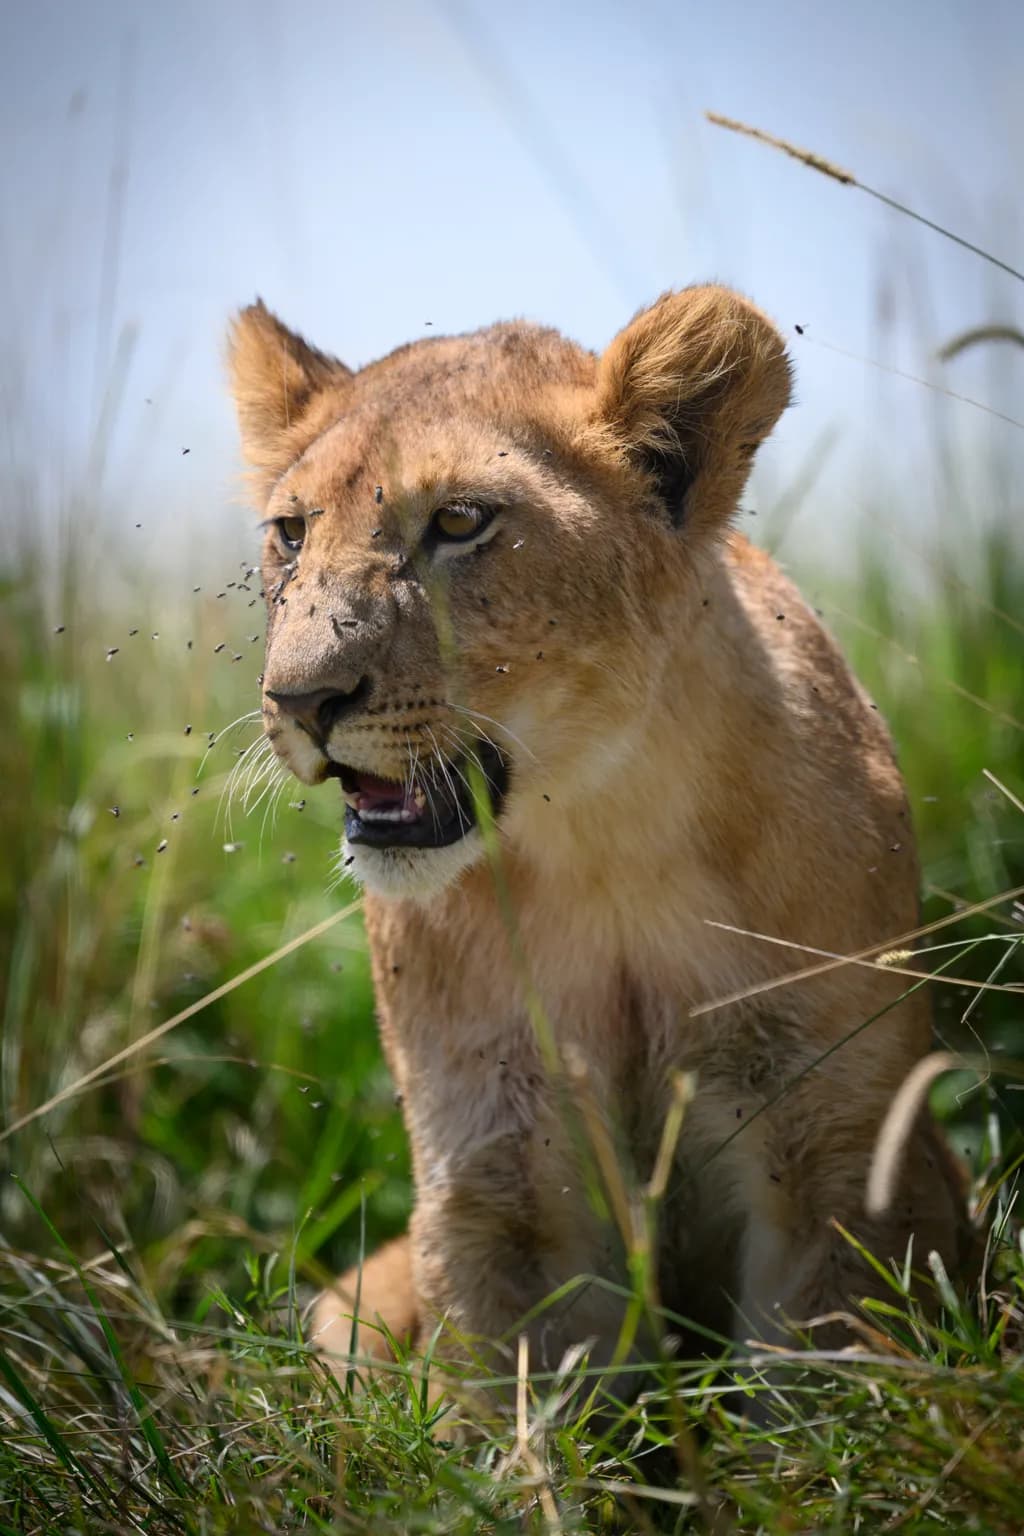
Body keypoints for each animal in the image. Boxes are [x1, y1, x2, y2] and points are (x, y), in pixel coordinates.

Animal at [228, 286, 966, 1417]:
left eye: (459, 522)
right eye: (292, 532)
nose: (300, 700)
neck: (600, 831)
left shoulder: (839, 1153)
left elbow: (819, 1387)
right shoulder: (495, 1169)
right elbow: (516, 1408)